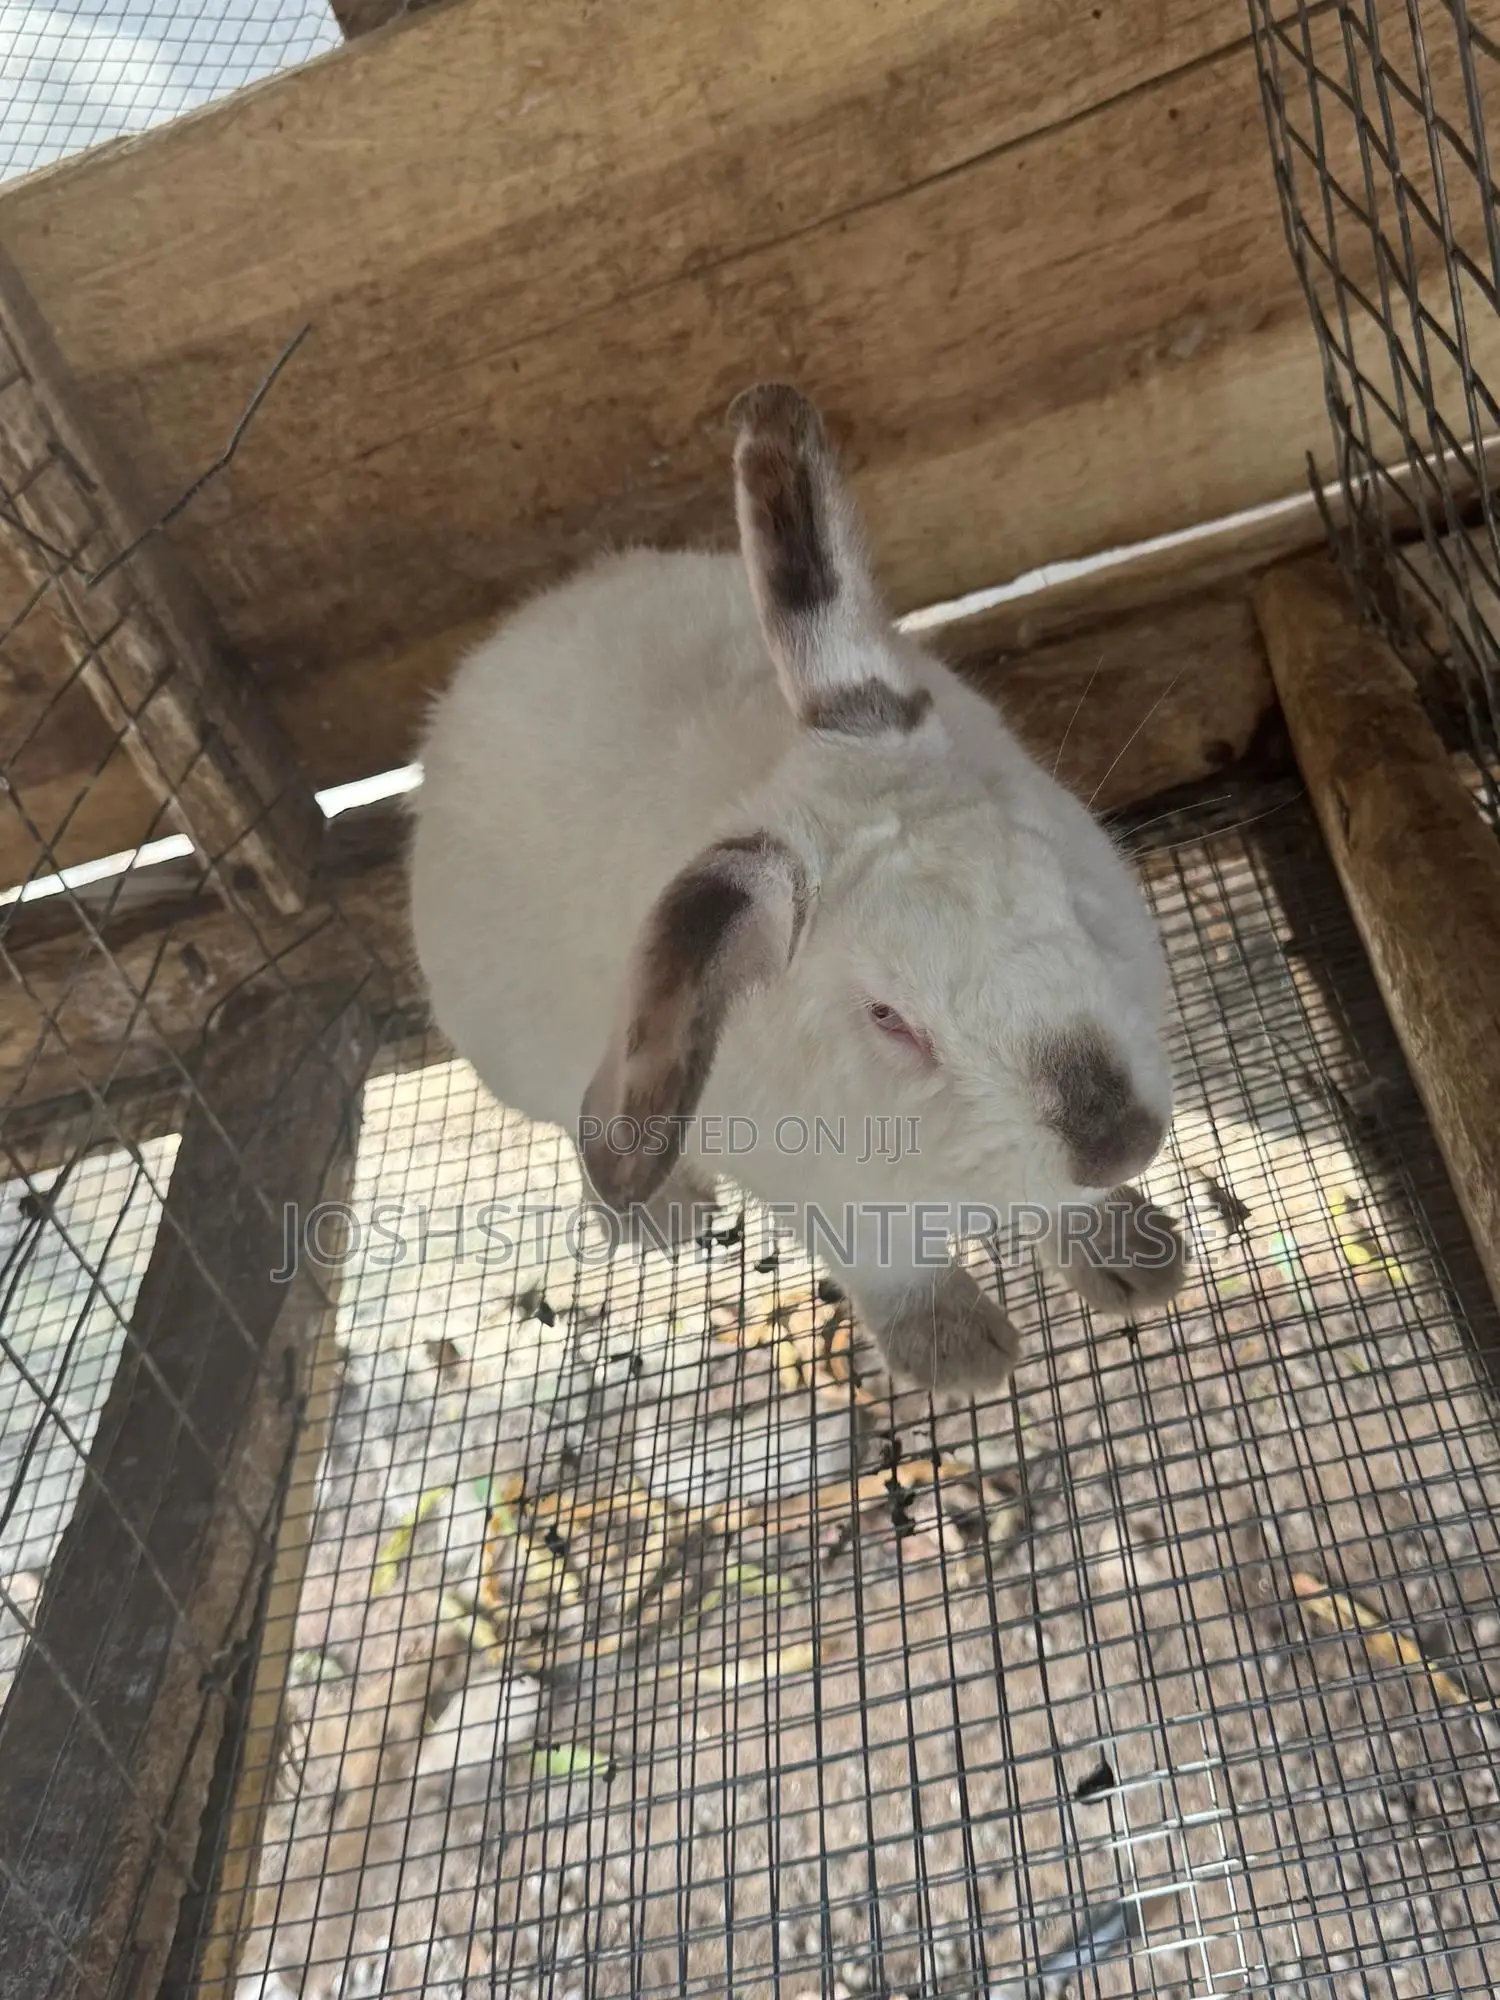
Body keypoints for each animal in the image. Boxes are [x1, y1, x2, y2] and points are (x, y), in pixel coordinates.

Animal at [408, 384, 1186, 1396]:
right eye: (889, 1018)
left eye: (1064, 887)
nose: (1119, 1139)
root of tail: (493, 653)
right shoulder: (833, 1206)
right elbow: (898, 1272)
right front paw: (962, 1360)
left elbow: (1069, 1208)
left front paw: (1137, 1261)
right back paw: (658, 1217)